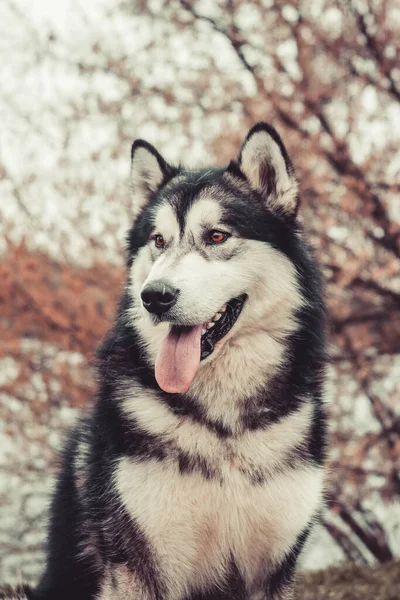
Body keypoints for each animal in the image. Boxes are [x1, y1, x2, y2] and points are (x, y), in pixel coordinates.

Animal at [9, 123, 328, 600]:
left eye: (217, 236)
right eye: (158, 241)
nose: (154, 296)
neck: (224, 430)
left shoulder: (272, 567)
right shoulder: (138, 567)